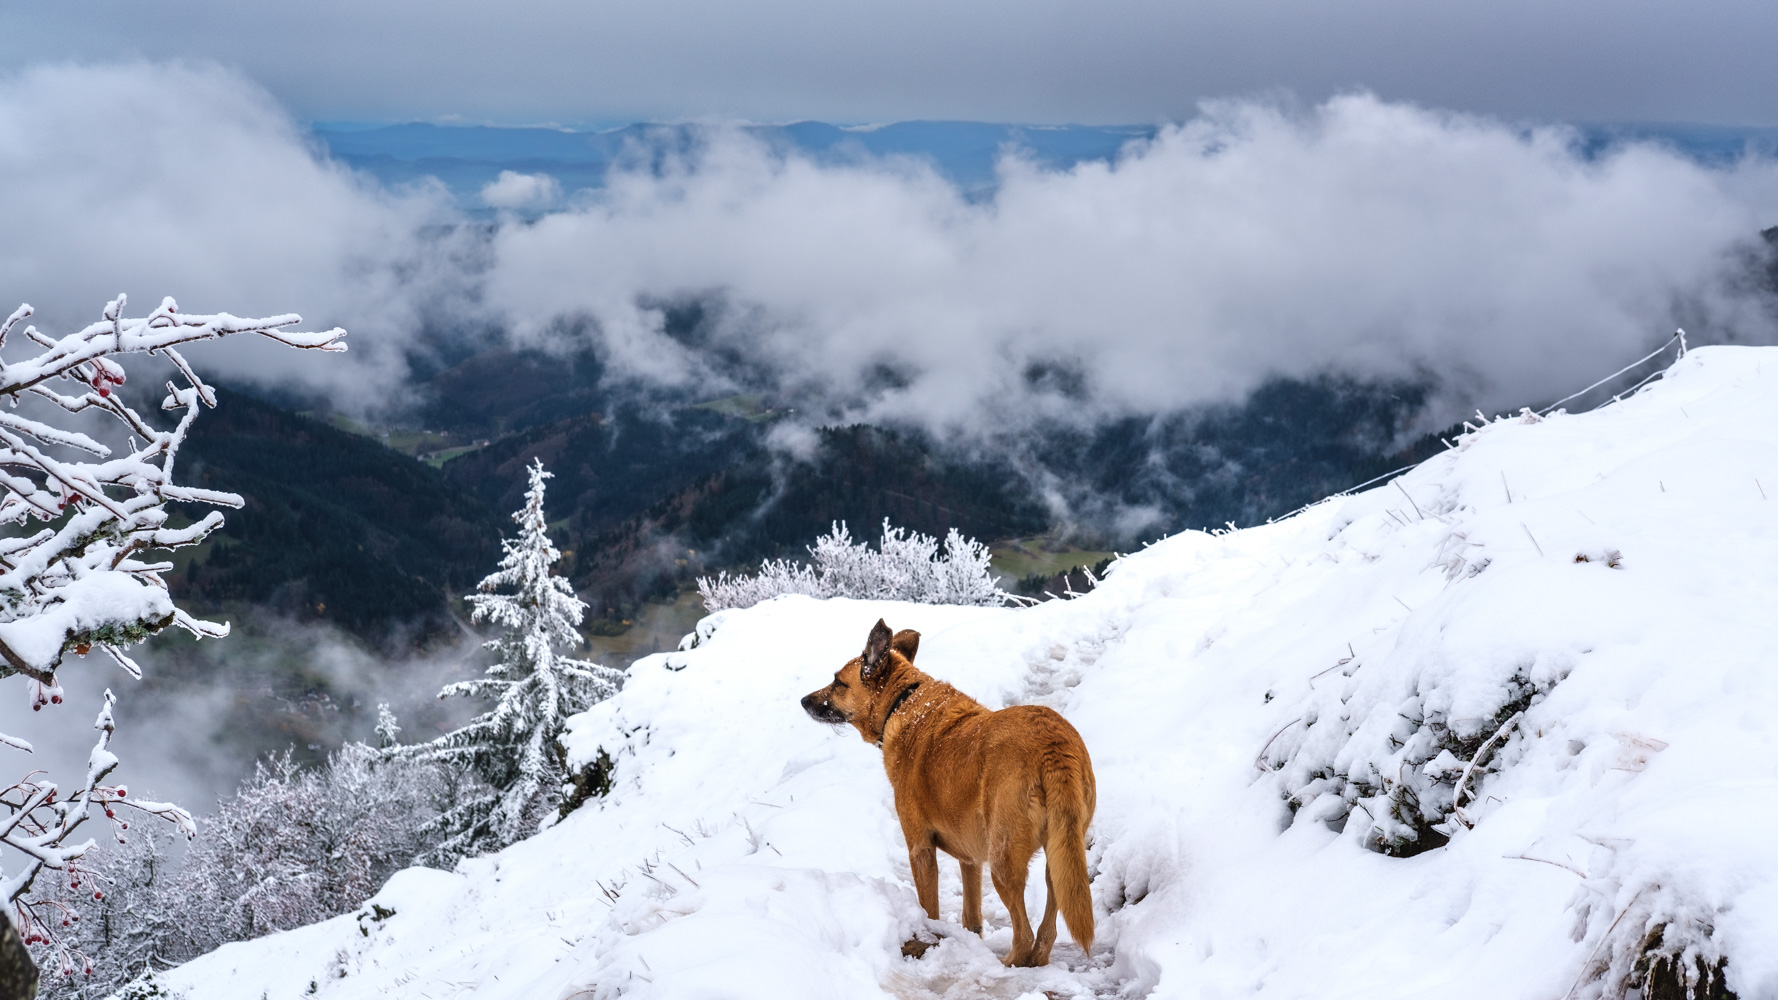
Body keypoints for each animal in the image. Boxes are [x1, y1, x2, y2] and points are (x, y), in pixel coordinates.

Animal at [800, 619, 1088, 960]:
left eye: (838, 682)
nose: (804, 701)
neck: (903, 703)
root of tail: (1053, 744)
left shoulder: (920, 848)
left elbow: (929, 909)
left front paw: (924, 940)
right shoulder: (970, 858)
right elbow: (971, 914)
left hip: (1003, 861)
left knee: (1024, 935)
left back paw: (1011, 962)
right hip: (1060, 853)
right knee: (1047, 930)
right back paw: (1036, 959)